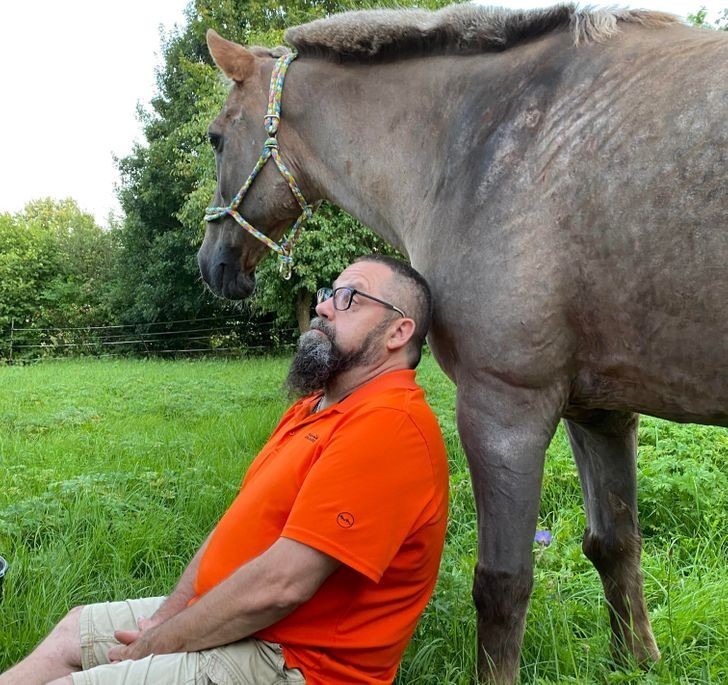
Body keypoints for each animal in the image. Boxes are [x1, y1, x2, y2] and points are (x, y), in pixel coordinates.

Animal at [195, 4, 728, 680]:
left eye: (216, 137)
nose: (211, 263)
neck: (477, 140)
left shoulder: (503, 412)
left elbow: (502, 583)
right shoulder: (600, 411)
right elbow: (615, 544)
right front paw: (637, 660)